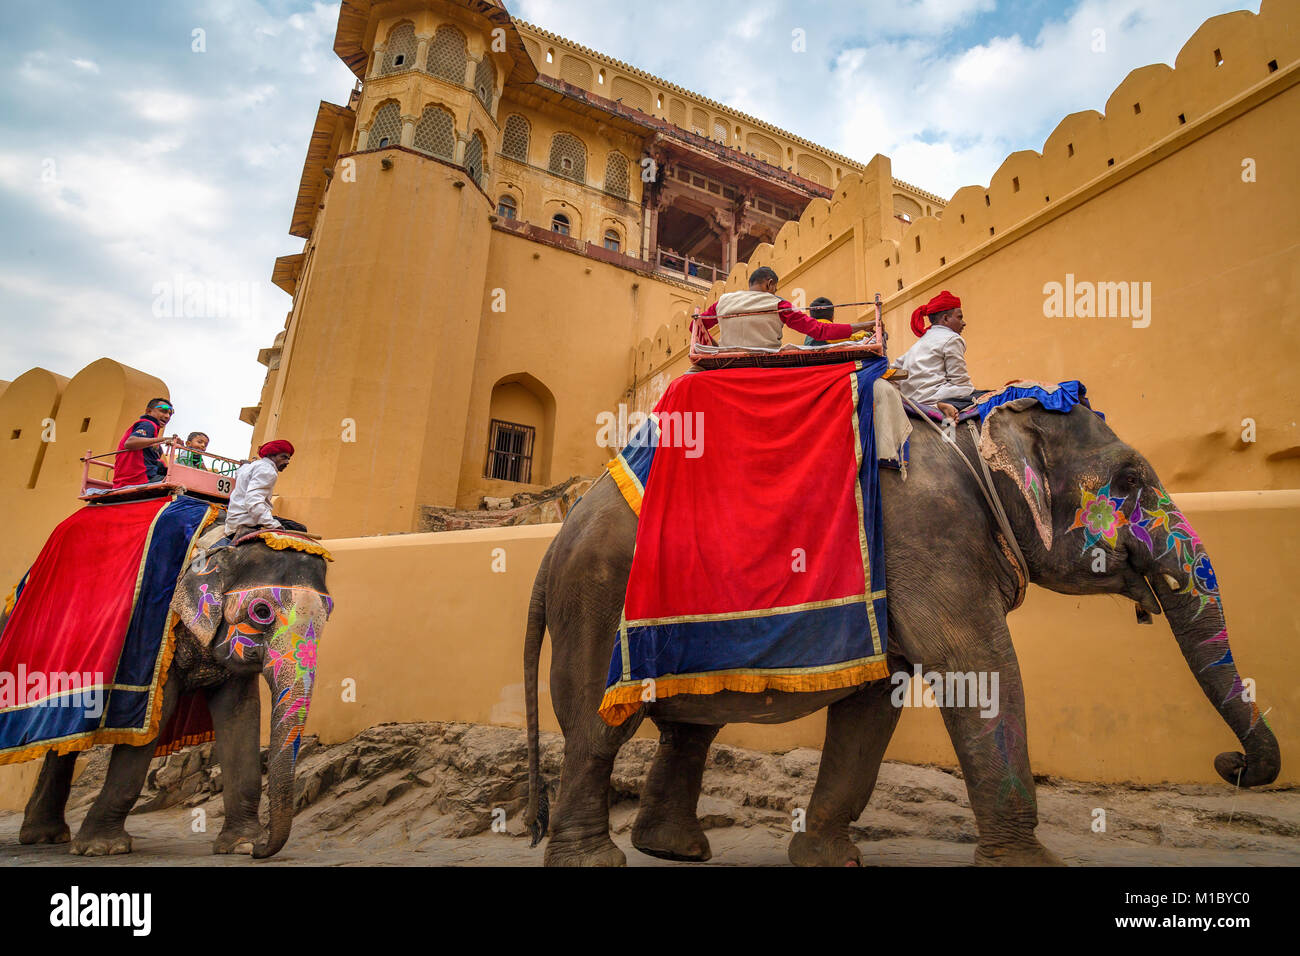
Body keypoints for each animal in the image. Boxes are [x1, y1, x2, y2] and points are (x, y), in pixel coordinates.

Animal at [11, 528, 330, 863]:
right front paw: (101, 848)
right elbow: (154, 720)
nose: (260, 851)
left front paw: (241, 844)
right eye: (261, 612)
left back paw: (44, 836)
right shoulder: (157, 637)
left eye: (328, 615)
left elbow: (241, 715)